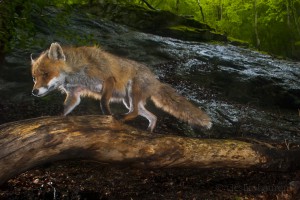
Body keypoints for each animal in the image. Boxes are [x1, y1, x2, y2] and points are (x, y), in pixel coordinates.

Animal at [31, 42, 212, 131]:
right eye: (34, 77)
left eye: (45, 74)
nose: (34, 91)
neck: (77, 72)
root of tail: (156, 80)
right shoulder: (74, 94)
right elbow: (65, 109)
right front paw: (55, 119)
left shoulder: (108, 79)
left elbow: (103, 102)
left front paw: (108, 116)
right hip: (128, 100)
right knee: (151, 116)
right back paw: (149, 131)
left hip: (132, 92)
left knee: (136, 112)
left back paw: (122, 118)